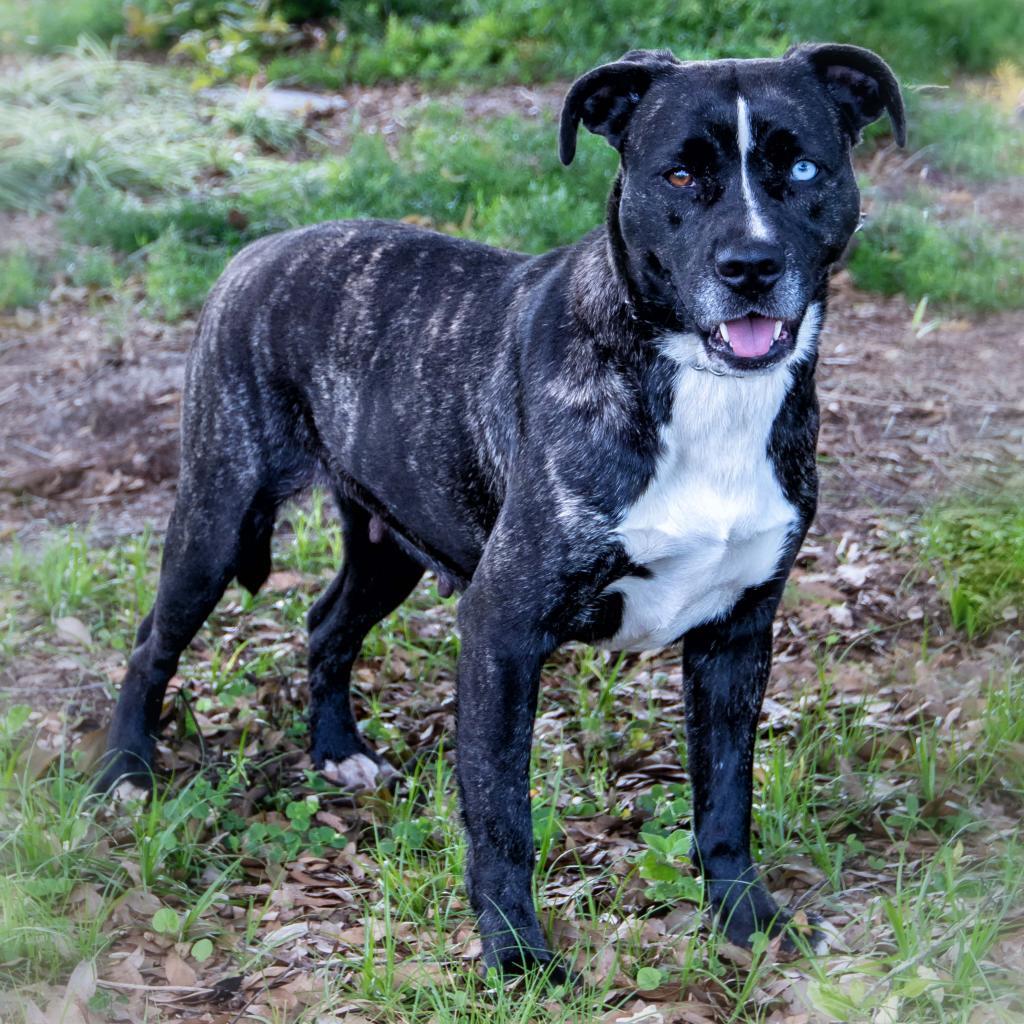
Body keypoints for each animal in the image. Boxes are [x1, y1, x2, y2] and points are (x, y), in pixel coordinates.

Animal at [97, 46, 905, 974]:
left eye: (803, 168)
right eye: (680, 174)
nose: (751, 267)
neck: (695, 384)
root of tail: (259, 246)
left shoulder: (737, 636)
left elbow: (726, 799)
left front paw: (745, 919)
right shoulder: (502, 627)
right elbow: (500, 814)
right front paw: (517, 955)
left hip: (389, 544)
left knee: (326, 623)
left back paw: (338, 753)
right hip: (218, 519)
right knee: (152, 641)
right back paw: (123, 774)